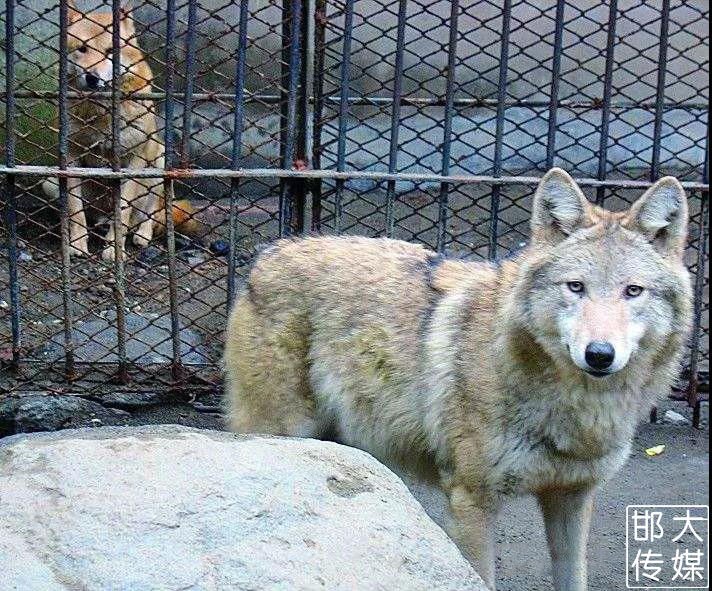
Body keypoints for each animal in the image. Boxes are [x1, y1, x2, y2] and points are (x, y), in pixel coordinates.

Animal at [222, 169, 688, 588]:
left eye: (633, 291)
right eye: (575, 287)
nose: (599, 354)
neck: (578, 408)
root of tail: (269, 252)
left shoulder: (572, 497)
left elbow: (574, 577)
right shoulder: (470, 499)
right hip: (284, 432)